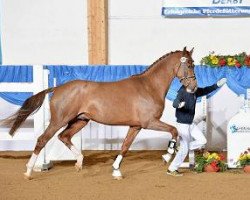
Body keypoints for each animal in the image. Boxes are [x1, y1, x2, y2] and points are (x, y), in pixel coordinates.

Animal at [0, 47, 196, 180]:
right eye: (190, 65)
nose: (194, 87)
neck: (149, 87)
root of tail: (58, 88)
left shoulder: (136, 126)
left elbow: (125, 147)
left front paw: (116, 171)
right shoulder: (149, 122)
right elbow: (174, 131)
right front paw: (167, 155)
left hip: (80, 121)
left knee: (64, 137)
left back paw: (79, 162)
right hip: (59, 120)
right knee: (42, 139)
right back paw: (28, 171)